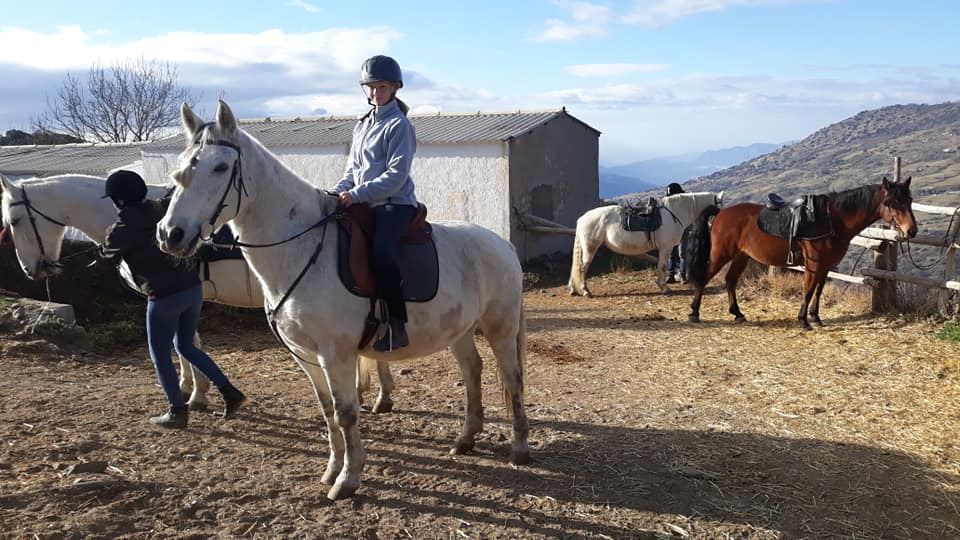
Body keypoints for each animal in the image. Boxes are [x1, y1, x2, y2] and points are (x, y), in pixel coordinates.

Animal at [0, 174, 396, 412]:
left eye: (14, 221)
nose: (30, 270)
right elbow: (186, 345)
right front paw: (194, 389)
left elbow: (184, 345)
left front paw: (195, 394)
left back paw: (381, 395)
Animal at [155, 100, 530, 500]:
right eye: (181, 167)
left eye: (221, 167)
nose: (170, 234)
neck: (302, 248)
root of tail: (501, 242)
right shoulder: (305, 354)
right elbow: (327, 410)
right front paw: (333, 469)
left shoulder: (335, 354)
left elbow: (346, 412)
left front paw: (348, 480)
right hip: (458, 330)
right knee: (472, 370)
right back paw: (465, 439)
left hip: (500, 328)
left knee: (512, 377)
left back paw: (519, 448)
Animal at [568, 191, 724, 297]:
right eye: (720, 204)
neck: (674, 213)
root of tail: (582, 218)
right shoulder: (665, 247)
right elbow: (662, 266)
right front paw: (664, 288)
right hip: (590, 248)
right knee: (582, 268)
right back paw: (586, 291)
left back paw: (574, 289)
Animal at [683, 177, 918, 329]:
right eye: (890, 203)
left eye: (909, 201)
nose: (911, 231)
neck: (832, 220)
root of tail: (722, 213)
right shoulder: (814, 264)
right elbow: (807, 289)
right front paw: (803, 320)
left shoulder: (825, 266)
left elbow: (818, 291)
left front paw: (815, 317)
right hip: (721, 253)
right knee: (704, 278)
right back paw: (694, 312)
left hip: (742, 255)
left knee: (730, 280)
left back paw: (737, 314)